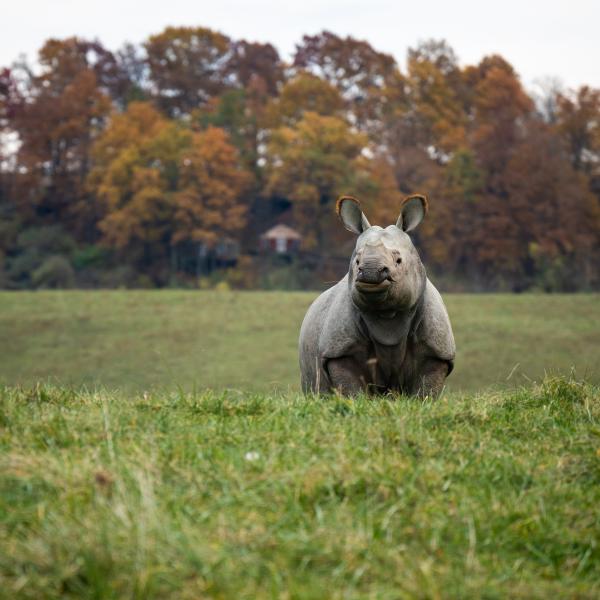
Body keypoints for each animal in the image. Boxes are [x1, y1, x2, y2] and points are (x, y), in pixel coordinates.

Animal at [300, 195, 454, 396]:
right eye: (357, 261)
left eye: (399, 260)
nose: (370, 271)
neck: (387, 316)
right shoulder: (339, 351)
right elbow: (351, 390)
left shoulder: (437, 352)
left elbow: (426, 390)